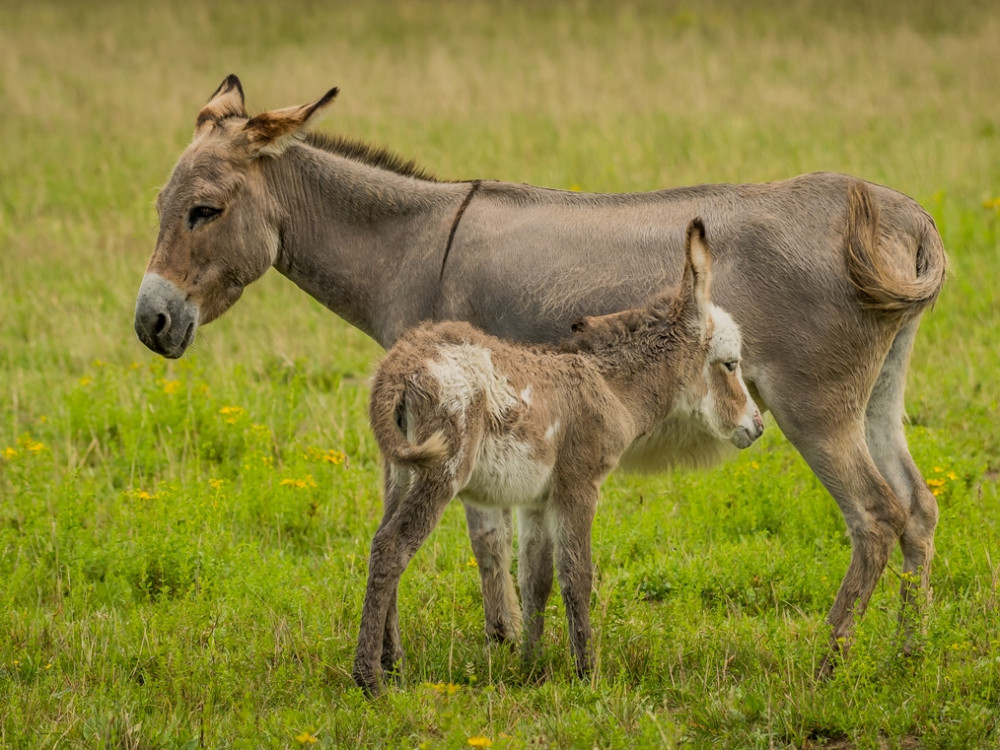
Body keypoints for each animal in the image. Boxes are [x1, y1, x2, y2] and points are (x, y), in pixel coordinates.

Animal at [352, 219, 756, 700]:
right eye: (730, 364)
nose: (756, 426)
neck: (608, 386)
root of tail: (399, 365)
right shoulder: (578, 488)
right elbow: (577, 576)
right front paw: (587, 673)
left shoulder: (537, 501)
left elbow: (535, 579)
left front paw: (531, 664)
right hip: (441, 471)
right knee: (394, 548)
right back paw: (369, 679)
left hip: (399, 472)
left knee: (383, 542)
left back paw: (393, 664)